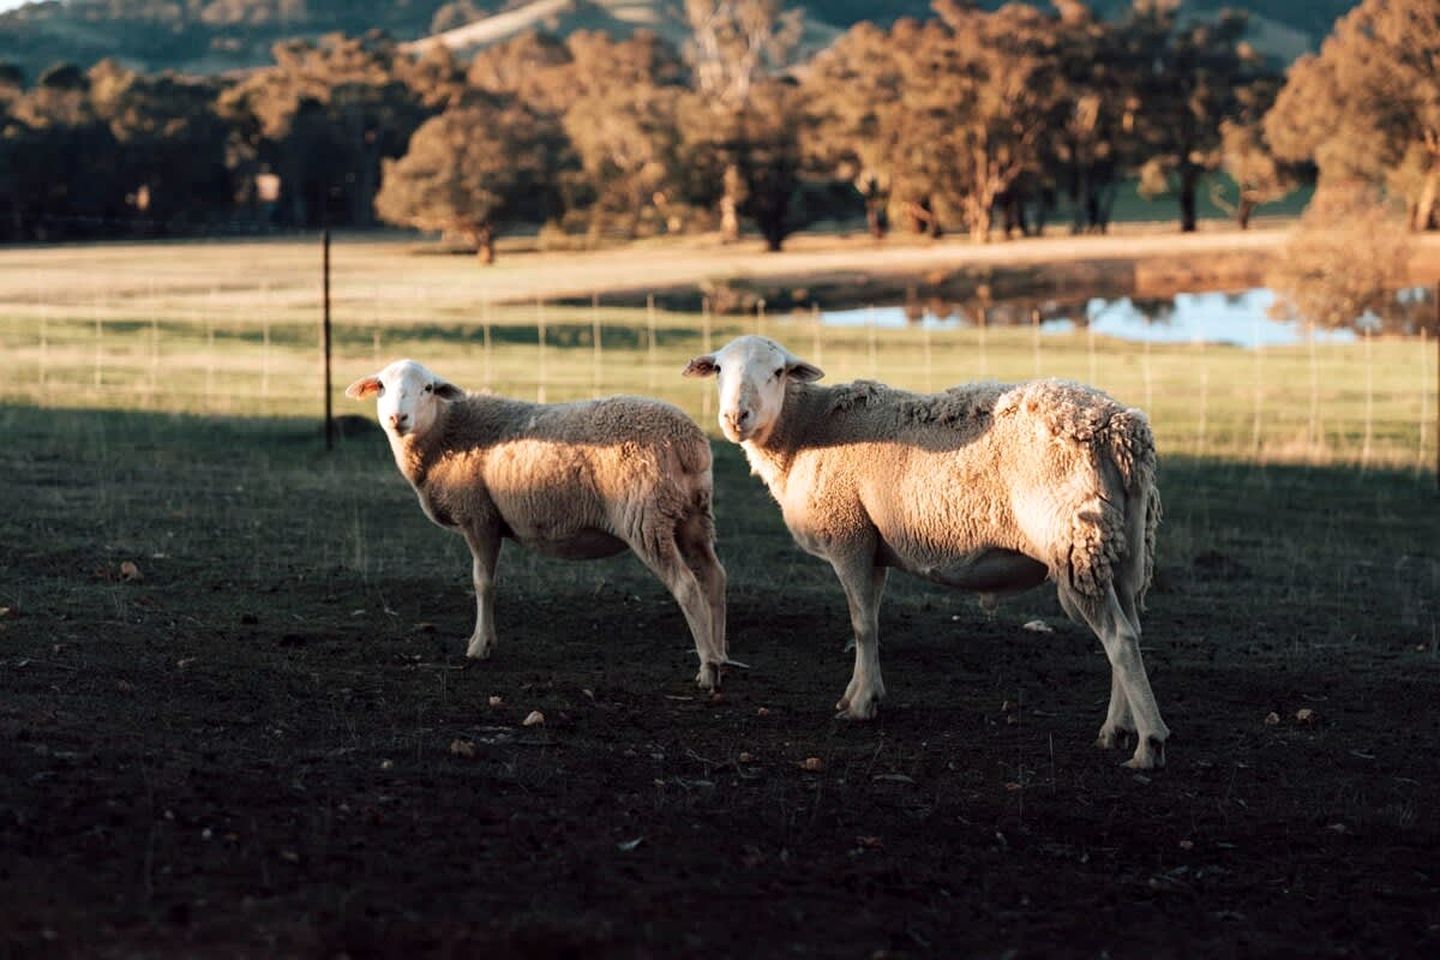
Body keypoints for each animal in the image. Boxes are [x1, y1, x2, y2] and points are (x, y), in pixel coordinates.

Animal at [346, 358, 729, 690]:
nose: (398, 417)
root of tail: (689, 442)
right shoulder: (488, 520)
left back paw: (707, 668)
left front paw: (480, 645)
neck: (446, 434)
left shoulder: (479, 517)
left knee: (687, 586)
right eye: (381, 386)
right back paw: (721, 655)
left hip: (646, 517)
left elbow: (482, 582)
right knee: (714, 578)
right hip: (692, 516)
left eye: (427, 388)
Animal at [683, 335, 1169, 769]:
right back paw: (1116, 730)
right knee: (1129, 631)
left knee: (1119, 638)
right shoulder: (872, 544)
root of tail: (1122, 430)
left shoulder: (848, 536)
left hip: (1074, 541)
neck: (807, 433)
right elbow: (871, 620)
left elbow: (861, 625)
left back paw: (1148, 744)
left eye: (778, 372)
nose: (736, 416)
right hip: (1118, 549)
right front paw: (860, 693)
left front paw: (860, 706)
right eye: (720, 369)